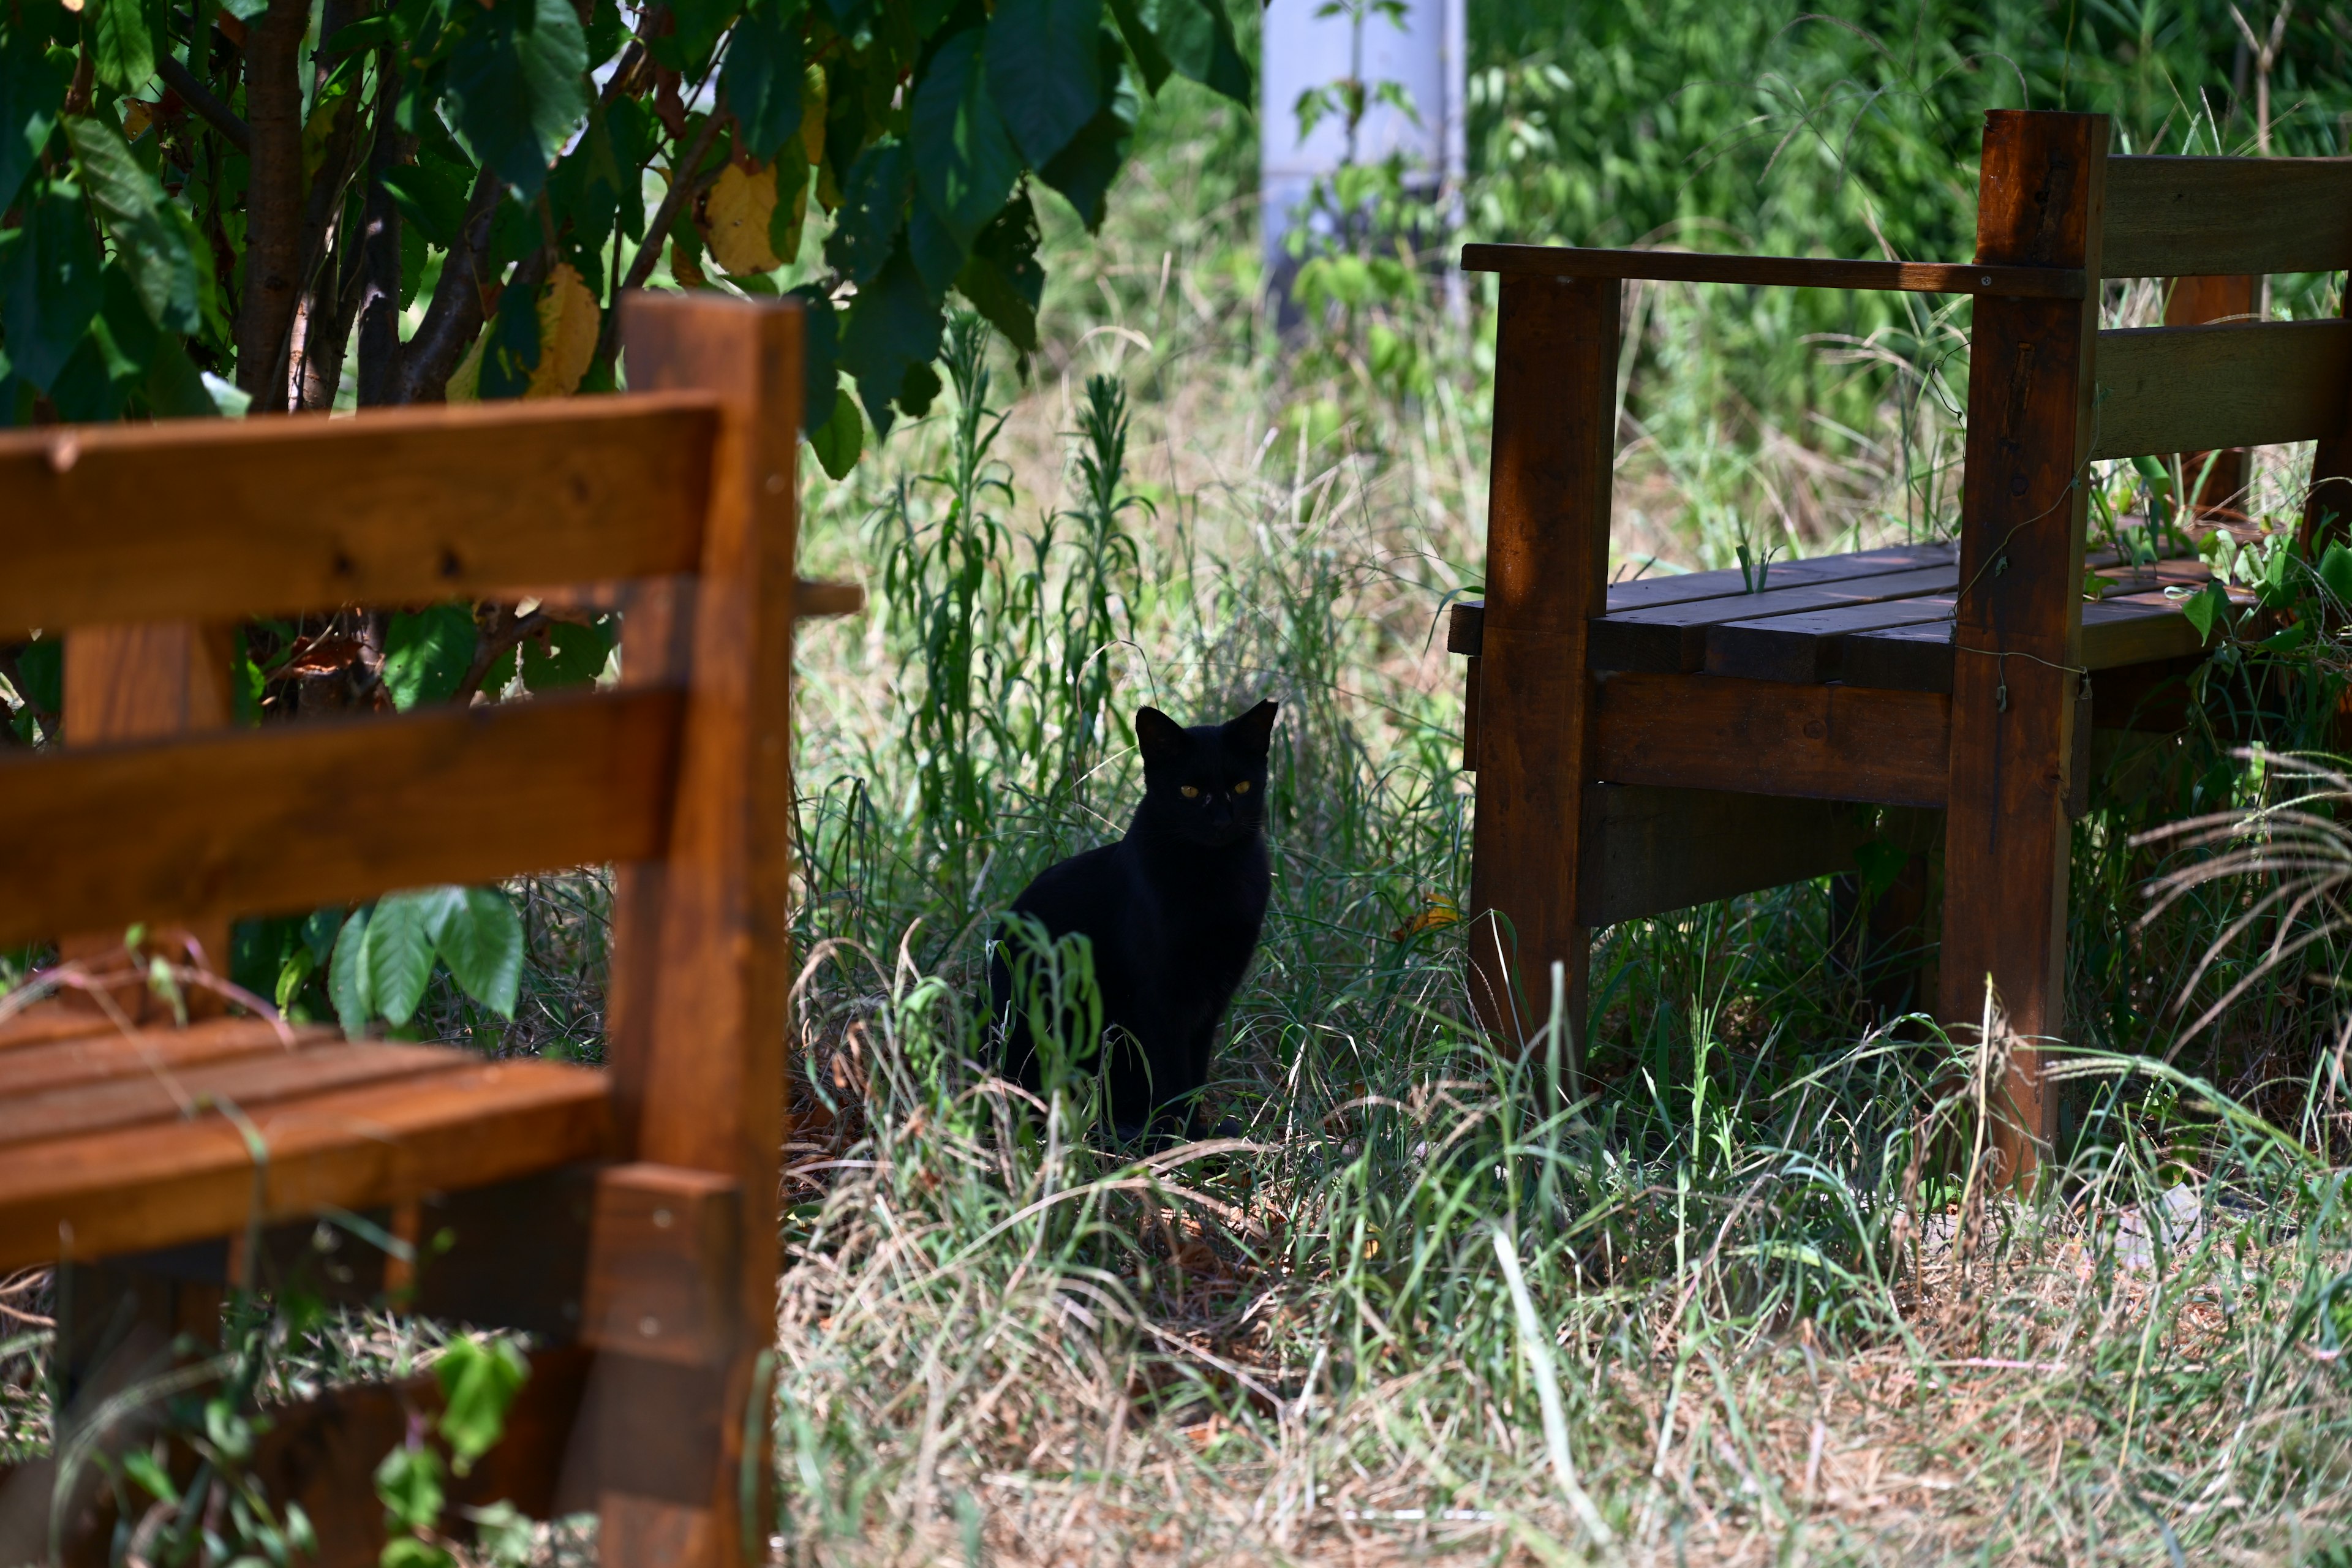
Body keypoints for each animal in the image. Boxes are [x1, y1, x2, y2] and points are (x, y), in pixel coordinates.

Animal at [992, 705, 1289, 1133]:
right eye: (1189, 791)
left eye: (1243, 787)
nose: (1221, 822)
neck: (1214, 877)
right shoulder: (1158, 1000)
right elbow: (1170, 1076)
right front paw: (1182, 1140)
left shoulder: (1212, 998)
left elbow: (1193, 1074)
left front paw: (1196, 1132)